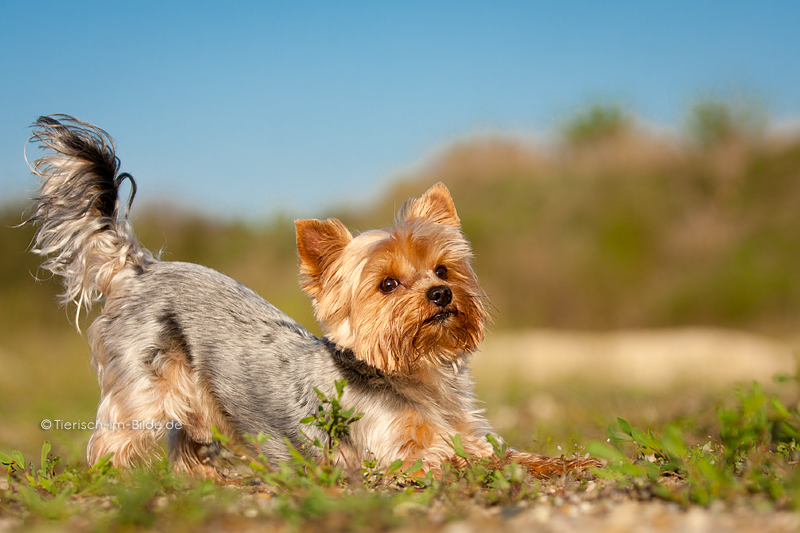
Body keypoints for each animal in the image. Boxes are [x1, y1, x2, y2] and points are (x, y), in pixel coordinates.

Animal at [23, 115, 600, 478]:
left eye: (443, 269)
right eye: (388, 284)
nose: (440, 294)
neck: (418, 377)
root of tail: (140, 267)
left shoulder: (468, 434)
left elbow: (507, 454)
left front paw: (569, 462)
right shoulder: (402, 456)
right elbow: (472, 462)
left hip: (203, 402)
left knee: (187, 443)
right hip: (143, 390)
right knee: (114, 441)